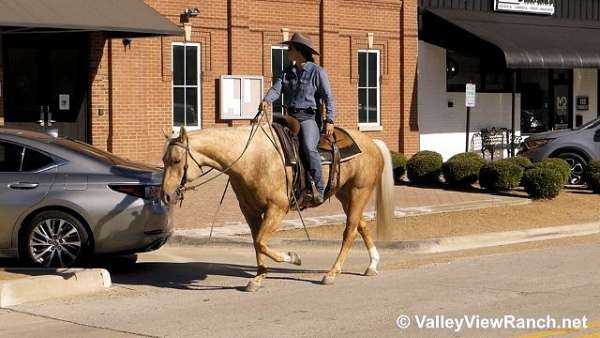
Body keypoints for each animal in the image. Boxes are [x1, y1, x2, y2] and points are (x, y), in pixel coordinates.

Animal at [161, 119, 394, 290]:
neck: (250, 158)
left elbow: (262, 242)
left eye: (176, 160)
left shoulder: (277, 208)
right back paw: (372, 264)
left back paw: (332, 272)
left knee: (350, 231)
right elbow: (257, 242)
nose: (165, 195)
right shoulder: (249, 211)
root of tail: (372, 143)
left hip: (359, 192)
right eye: (164, 160)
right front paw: (258, 277)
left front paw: (293, 257)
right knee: (361, 225)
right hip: (345, 195)